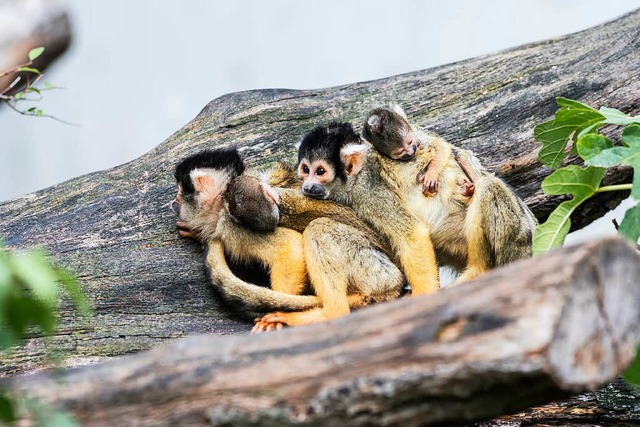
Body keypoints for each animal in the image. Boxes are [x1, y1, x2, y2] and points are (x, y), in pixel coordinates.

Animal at [172, 147, 402, 332]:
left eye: (181, 192)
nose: (175, 202)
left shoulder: (232, 225)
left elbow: (290, 249)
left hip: (375, 268)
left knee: (320, 228)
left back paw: (330, 312)